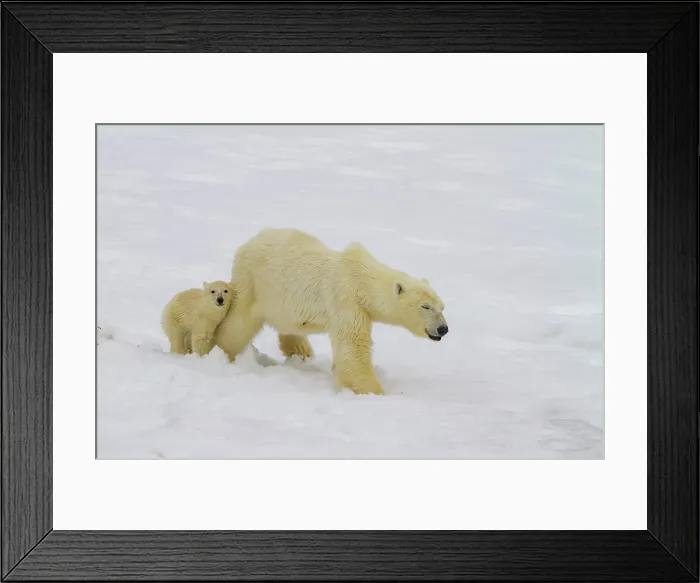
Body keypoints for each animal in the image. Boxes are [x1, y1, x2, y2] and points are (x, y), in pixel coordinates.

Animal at [214, 228, 448, 395]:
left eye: (442, 306)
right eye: (425, 306)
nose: (443, 329)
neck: (361, 277)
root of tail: (246, 244)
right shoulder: (346, 300)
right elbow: (352, 347)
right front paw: (375, 391)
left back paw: (301, 351)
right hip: (254, 282)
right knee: (239, 323)